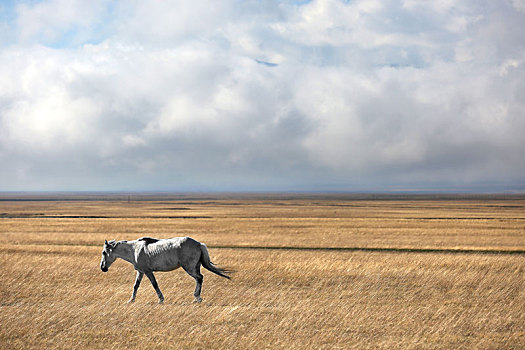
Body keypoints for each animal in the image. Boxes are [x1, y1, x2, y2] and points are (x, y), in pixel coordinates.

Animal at [99, 235, 230, 304]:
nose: (103, 268)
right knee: (199, 279)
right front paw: (131, 300)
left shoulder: (148, 271)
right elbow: (136, 286)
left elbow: (155, 284)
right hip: (195, 267)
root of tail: (198, 244)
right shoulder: (140, 271)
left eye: (104, 252)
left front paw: (161, 300)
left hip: (189, 268)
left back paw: (197, 297)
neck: (134, 250)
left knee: (200, 278)